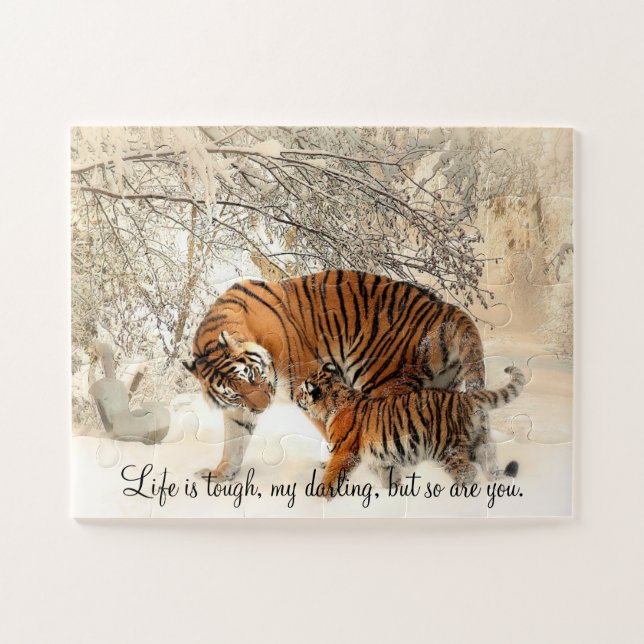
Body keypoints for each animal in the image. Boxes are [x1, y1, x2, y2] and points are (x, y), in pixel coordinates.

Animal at [184, 270, 488, 481]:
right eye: (235, 394)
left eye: (252, 376)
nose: (262, 407)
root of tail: (447, 309)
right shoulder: (239, 410)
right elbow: (234, 441)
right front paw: (221, 474)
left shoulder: (307, 381)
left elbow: (335, 428)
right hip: (441, 388)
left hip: (383, 381)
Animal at [295, 364, 525, 493]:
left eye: (302, 391)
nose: (295, 396)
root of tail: (465, 397)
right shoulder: (383, 459)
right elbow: (388, 477)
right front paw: (393, 493)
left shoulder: (344, 453)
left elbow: (331, 476)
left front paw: (321, 499)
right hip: (479, 442)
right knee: (489, 461)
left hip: (447, 449)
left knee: (467, 473)